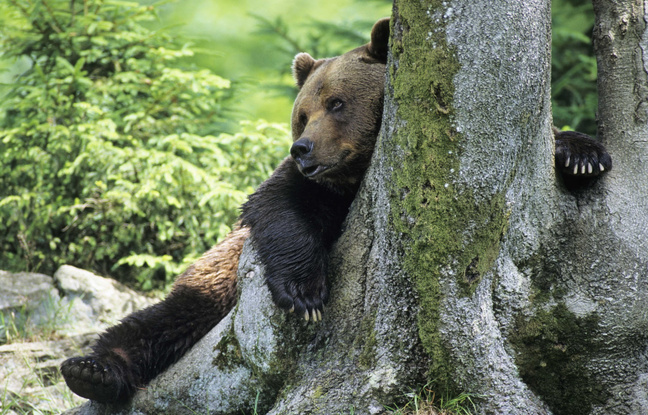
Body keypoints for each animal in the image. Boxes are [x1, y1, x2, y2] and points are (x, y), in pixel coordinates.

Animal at [58, 17, 612, 404]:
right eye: (303, 112)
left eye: (338, 103)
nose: (303, 147)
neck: (354, 174)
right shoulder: (306, 189)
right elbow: (278, 208)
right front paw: (305, 294)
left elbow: (554, 142)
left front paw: (582, 156)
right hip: (217, 277)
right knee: (159, 321)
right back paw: (91, 370)